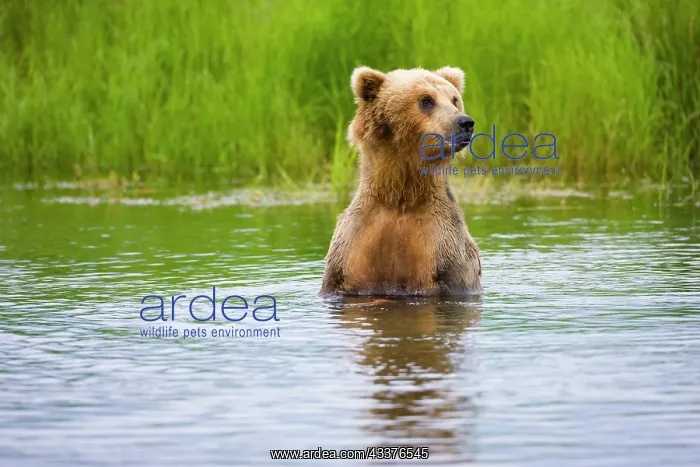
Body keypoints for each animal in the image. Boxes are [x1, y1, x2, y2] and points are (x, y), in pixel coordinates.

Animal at [319, 66, 482, 298]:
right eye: (426, 100)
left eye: (455, 99)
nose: (465, 122)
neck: (401, 194)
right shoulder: (354, 245)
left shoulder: (443, 246)